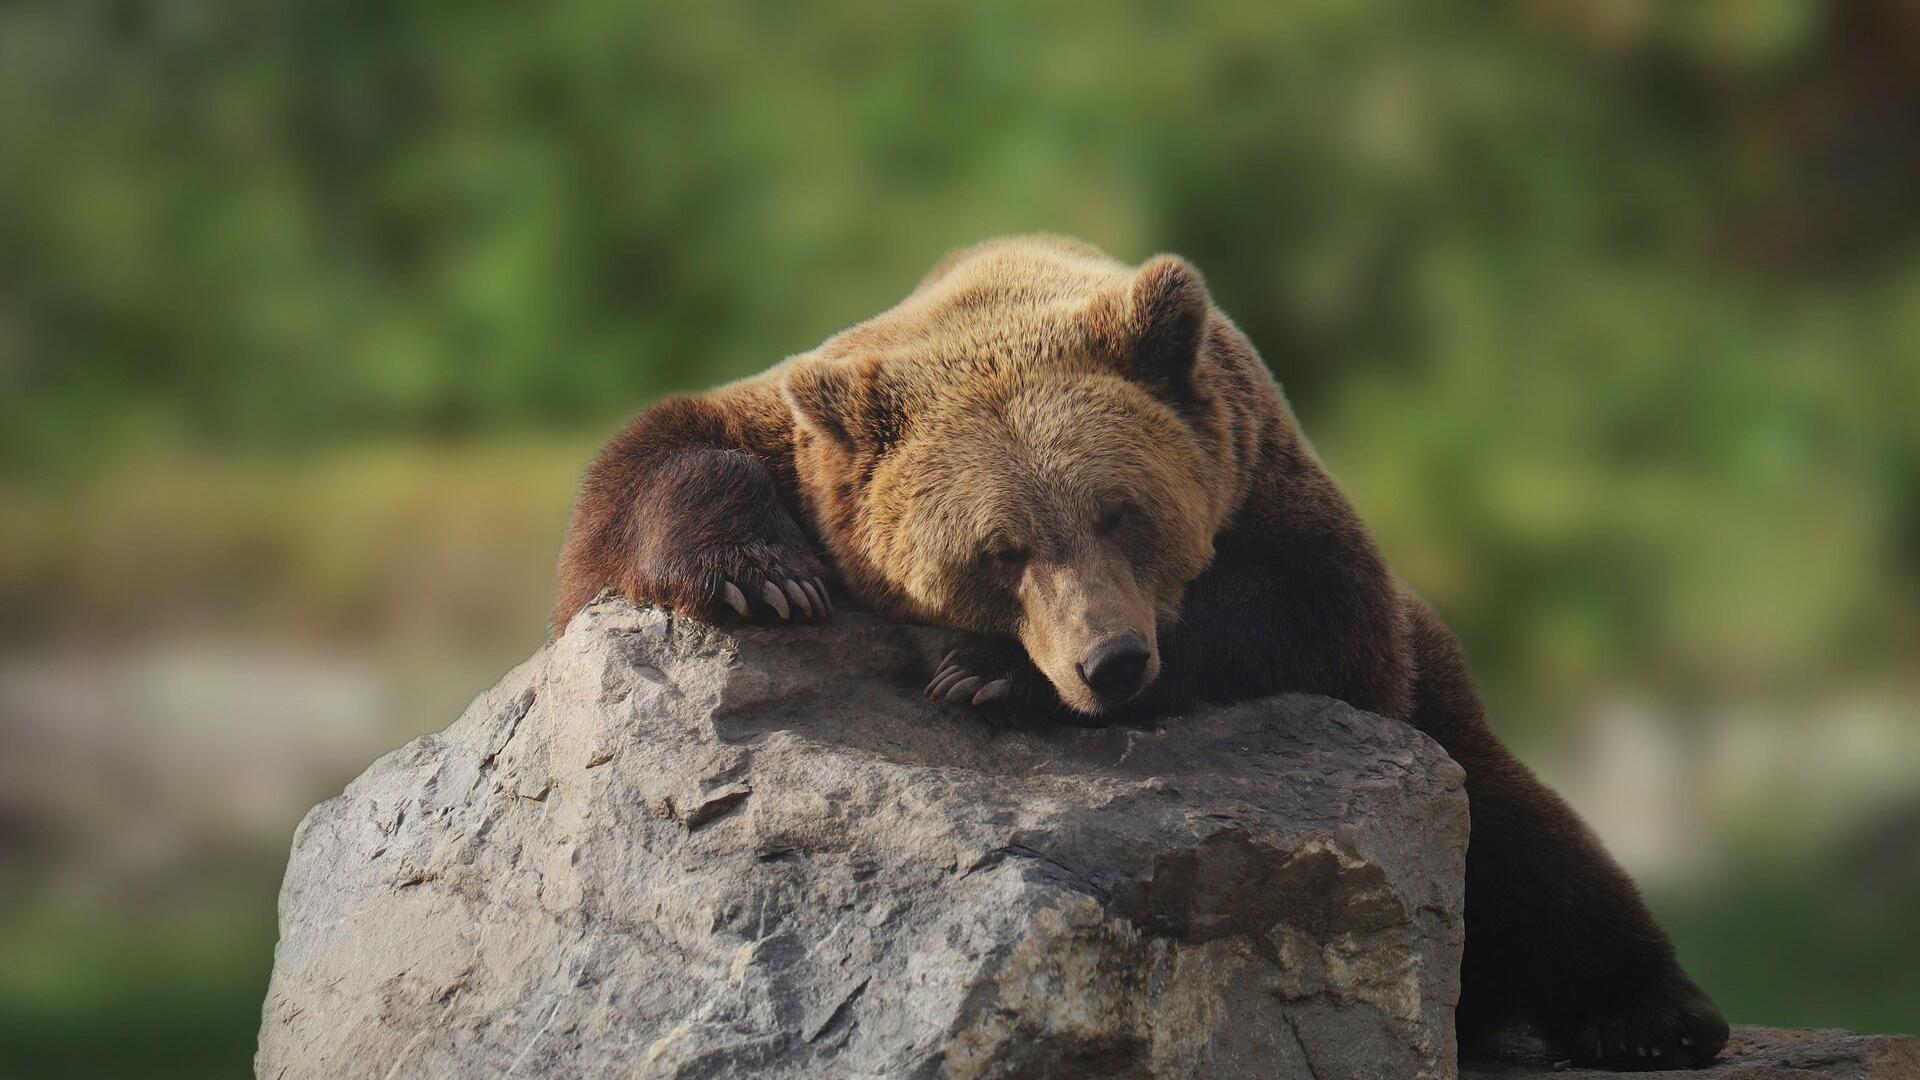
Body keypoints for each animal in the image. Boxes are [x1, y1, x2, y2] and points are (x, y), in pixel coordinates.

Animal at [553, 235, 1731, 1070]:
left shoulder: (1272, 491)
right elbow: (649, 462)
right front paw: (761, 574)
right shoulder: (805, 438)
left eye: (1121, 512)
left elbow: (1310, 613)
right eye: (1001, 550)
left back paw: (1653, 1014)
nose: (1108, 662)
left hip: (1441, 698)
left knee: (1523, 837)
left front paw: (989, 674)